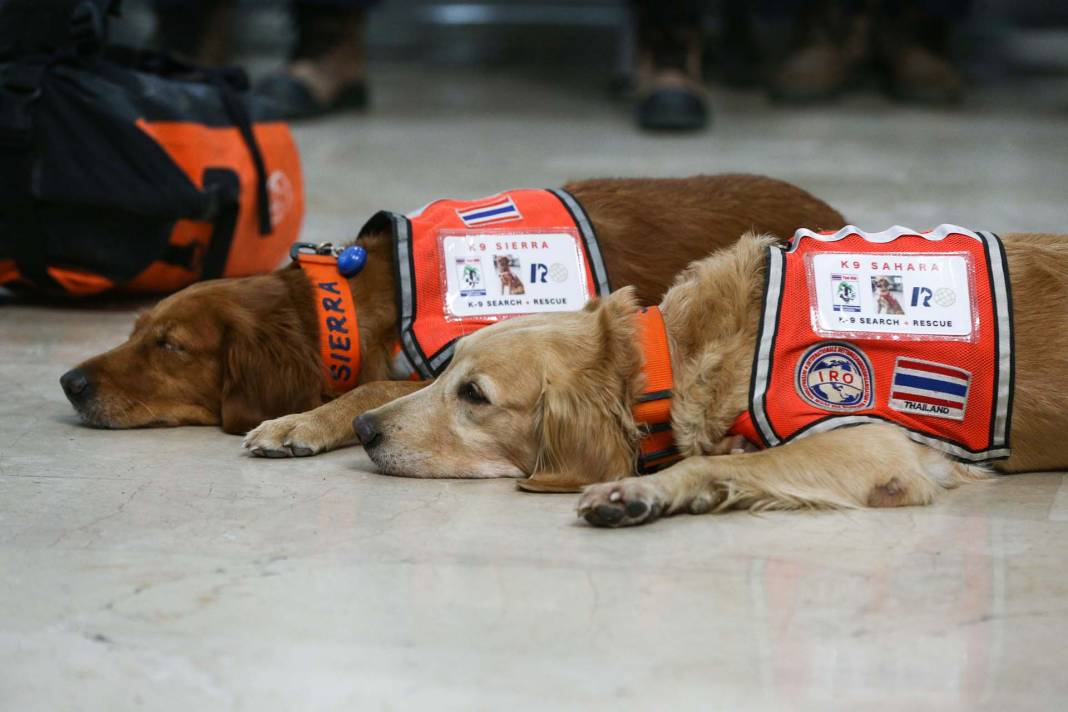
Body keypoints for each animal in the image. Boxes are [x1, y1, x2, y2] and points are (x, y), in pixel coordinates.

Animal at [60, 172, 841, 439]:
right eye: (136, 331)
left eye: (170, 346)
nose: (69, 383)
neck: (358, 301)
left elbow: (370, 390)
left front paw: (298, 424)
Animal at [343, 225, 1068, 527]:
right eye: (448, 373)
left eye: (474, 395)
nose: (364, 427)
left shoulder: (872, 443)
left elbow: (711, 463)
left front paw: (638, 492)